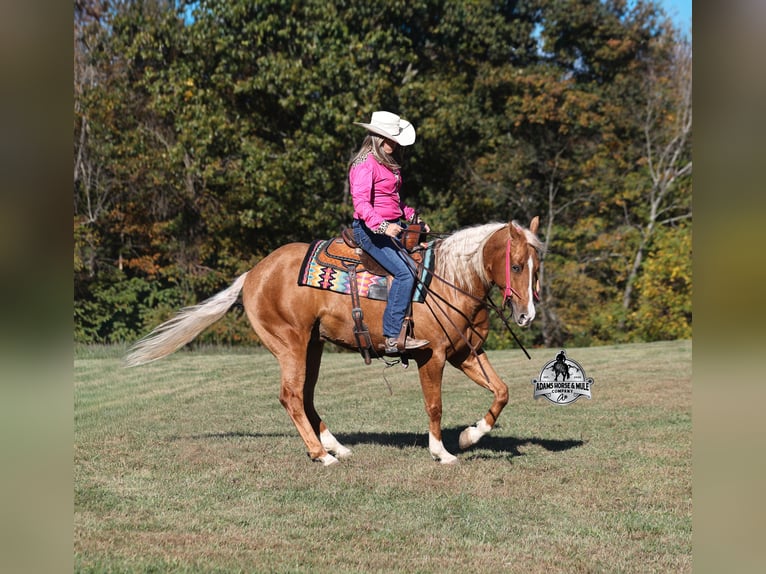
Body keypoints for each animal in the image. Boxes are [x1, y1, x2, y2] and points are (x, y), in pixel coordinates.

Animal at [126, 217, 543, 465]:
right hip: (290, 345)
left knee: (305, 397)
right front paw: (442, 452)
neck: (450, 280)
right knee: (291, 396)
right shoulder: (433, 356)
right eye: (516, 265)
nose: (526, 315)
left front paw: (471, 436)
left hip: (312, 346)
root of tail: (252, 274)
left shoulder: (466, 353)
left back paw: (335, 446)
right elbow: (435, 405)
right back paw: (319, 454)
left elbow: (502, 391)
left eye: (537, 266)